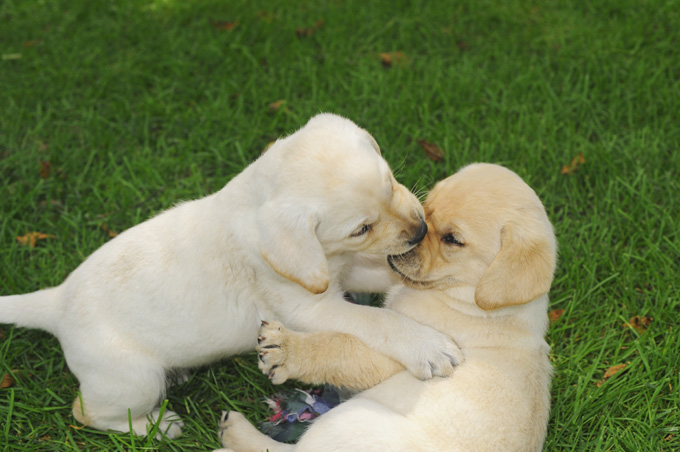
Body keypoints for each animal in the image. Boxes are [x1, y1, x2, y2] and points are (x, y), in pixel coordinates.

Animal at [0, 113, 462, 438]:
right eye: (360, 228)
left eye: (390, 182)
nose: (421, 230)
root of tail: (57, 300)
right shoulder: (310, 306)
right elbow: (376, 319)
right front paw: (428, 345)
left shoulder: (349, 270)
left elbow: (388, 278)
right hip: (130, 380)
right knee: (87, 413)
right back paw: (156, 427)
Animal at [218, 163, 556, 452]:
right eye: (427, 206)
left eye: (452, 239)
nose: (419, 232)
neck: (468, 298)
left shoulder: (397, 357)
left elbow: (339, 346)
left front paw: (285, 350)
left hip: (350, 417)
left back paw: (234, 431)